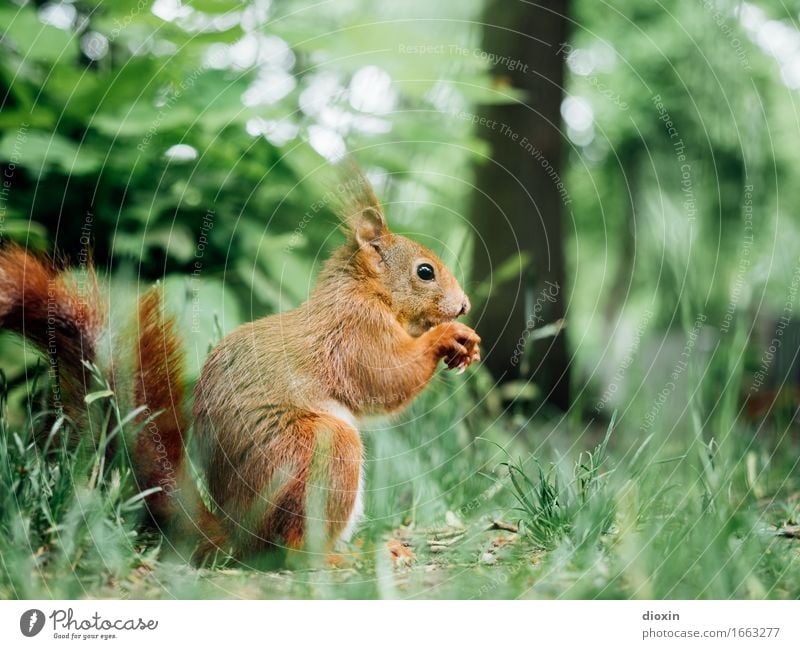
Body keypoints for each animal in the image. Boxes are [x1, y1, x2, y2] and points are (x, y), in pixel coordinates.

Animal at [0, 167, 478, 556]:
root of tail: (238, 537)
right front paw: (447, 338)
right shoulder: (356, 334)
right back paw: (334, 558)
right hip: (319, 449)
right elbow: (387, 379)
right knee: (292, 550)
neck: (364, 292)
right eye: (425, 272)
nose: (464, 306)